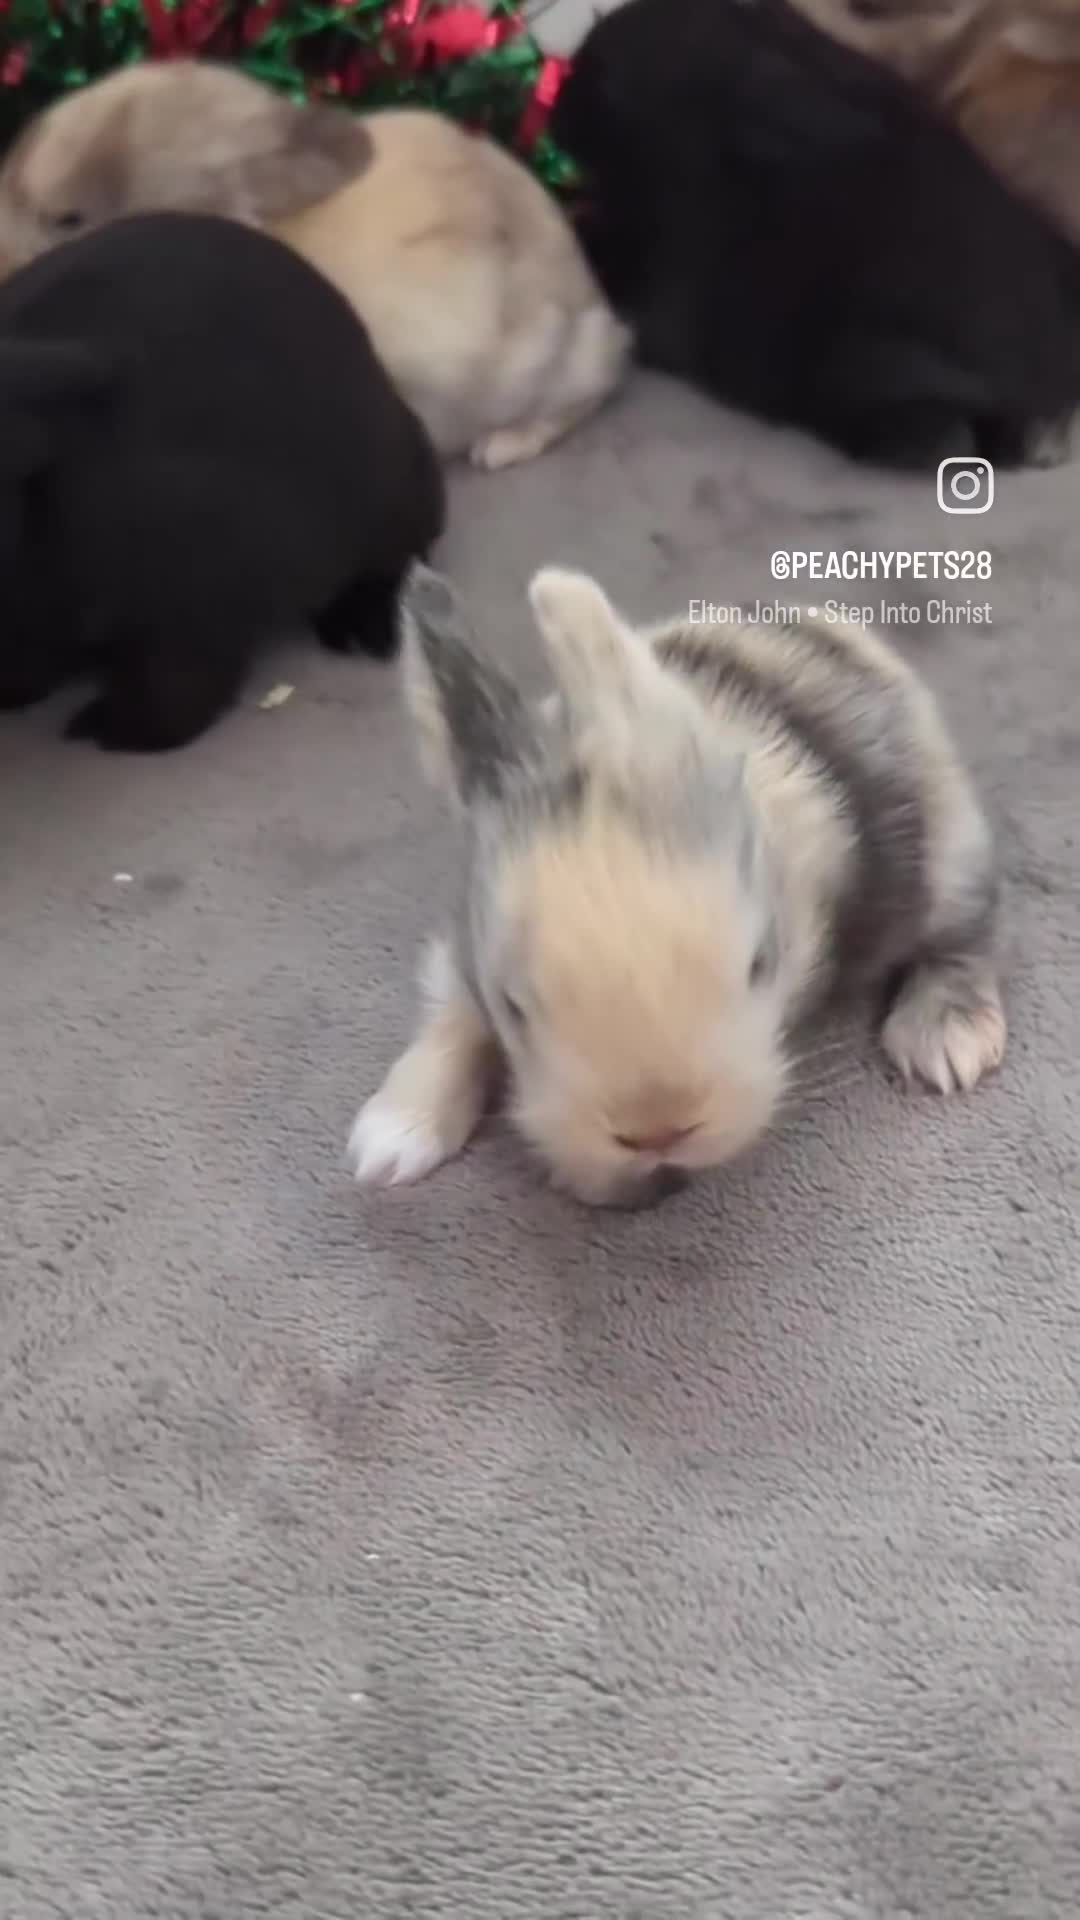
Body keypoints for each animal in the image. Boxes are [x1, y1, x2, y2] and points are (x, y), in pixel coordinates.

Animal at [0, 210, 444, 751]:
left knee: (402, 559)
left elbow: (176, 688)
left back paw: (362, 630)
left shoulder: (193, 605)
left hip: (394, 493)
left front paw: (111, 729)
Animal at [345, 565, 1005, 1210]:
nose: (658, 1131)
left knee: (964, 933)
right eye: (513, 1005)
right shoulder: (459, 958)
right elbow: (453, 1021)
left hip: (949, 854)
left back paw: (947, 1040)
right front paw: (390, 1141)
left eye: (761, 962)